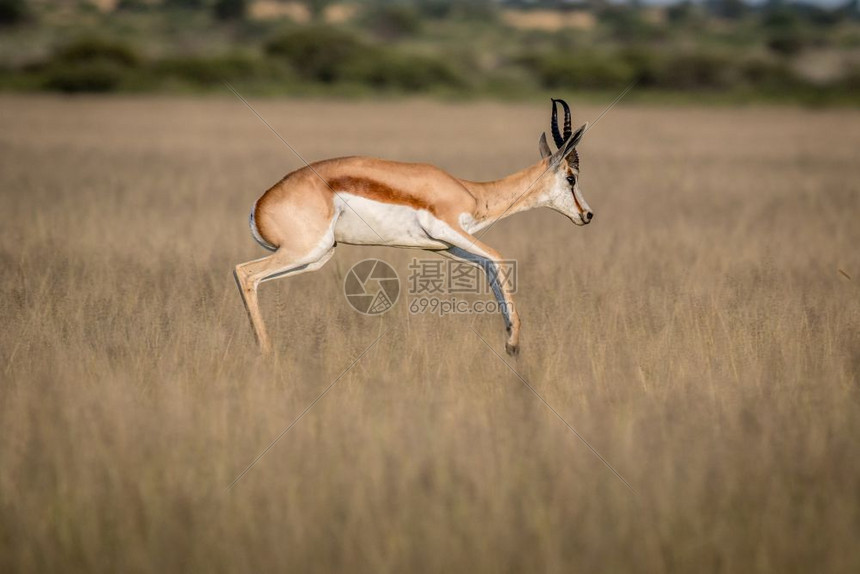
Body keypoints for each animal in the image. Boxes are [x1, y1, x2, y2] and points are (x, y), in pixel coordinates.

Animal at [235, 101, 592, 358]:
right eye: (570, 177)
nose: (587, 215)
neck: (473, 193)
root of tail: (259, 205)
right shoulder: (448, 229)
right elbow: (499, 257)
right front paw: (514, 343)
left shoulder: (447, 246)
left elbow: (490, 267)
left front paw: (510, 342)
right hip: (306, 250)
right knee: (244, 272)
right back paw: (265, 351)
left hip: (315, 257)